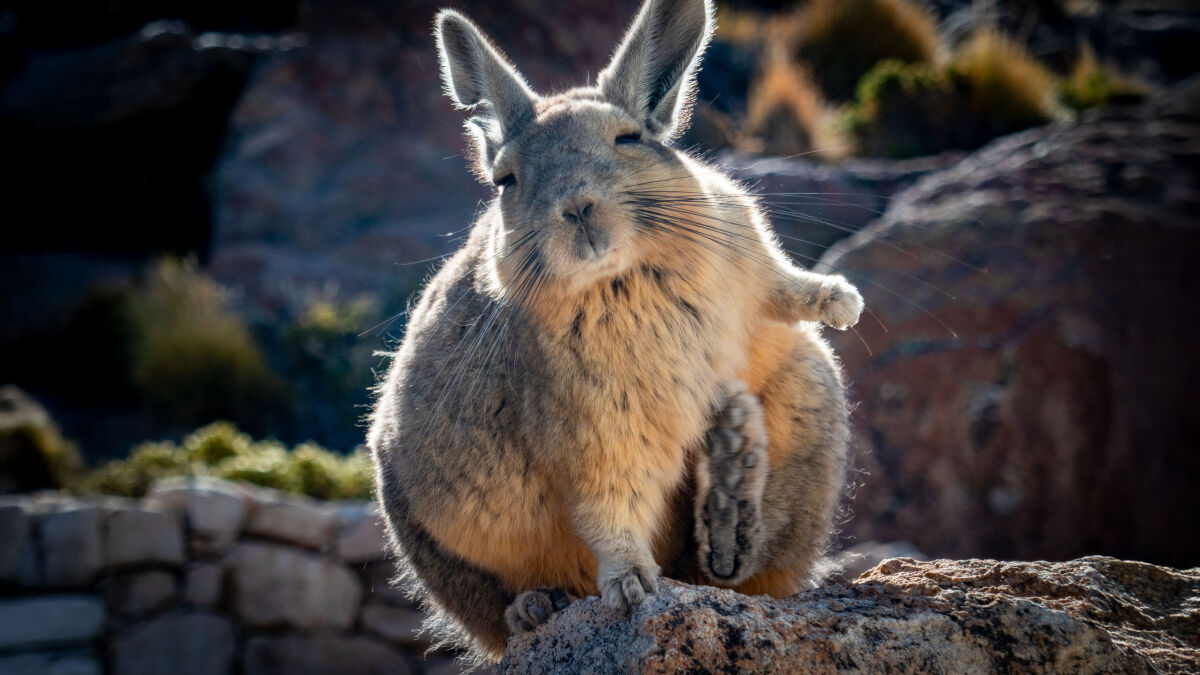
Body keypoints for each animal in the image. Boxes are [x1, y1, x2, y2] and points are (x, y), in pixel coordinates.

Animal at [368, 0, 862, 661]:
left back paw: (733, 475)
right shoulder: (595, 425)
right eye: (506, 180)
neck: (628, 276)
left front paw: (843, 301)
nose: (578, 207)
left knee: (743, 578)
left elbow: (785, 286)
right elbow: (609, 511)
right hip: (427, 537)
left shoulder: (751, 254)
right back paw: (535, 607)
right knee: (498, 614)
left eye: (628, 138)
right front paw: (631, 590)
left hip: (810, 382)